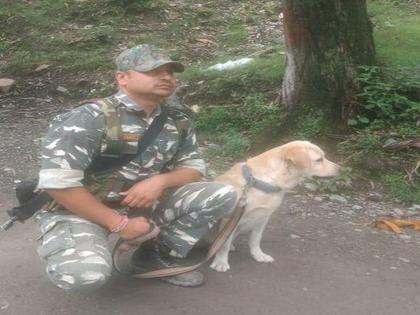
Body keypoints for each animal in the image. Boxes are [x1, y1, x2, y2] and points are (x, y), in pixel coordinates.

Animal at [210, 142, 342, 272]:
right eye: (319, 160)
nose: (340, 169)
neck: (260, 182)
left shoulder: (262, 218)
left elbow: (255, 239)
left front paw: (258, 255)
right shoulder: (229, 219)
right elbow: (224, 245)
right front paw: (221, 262)